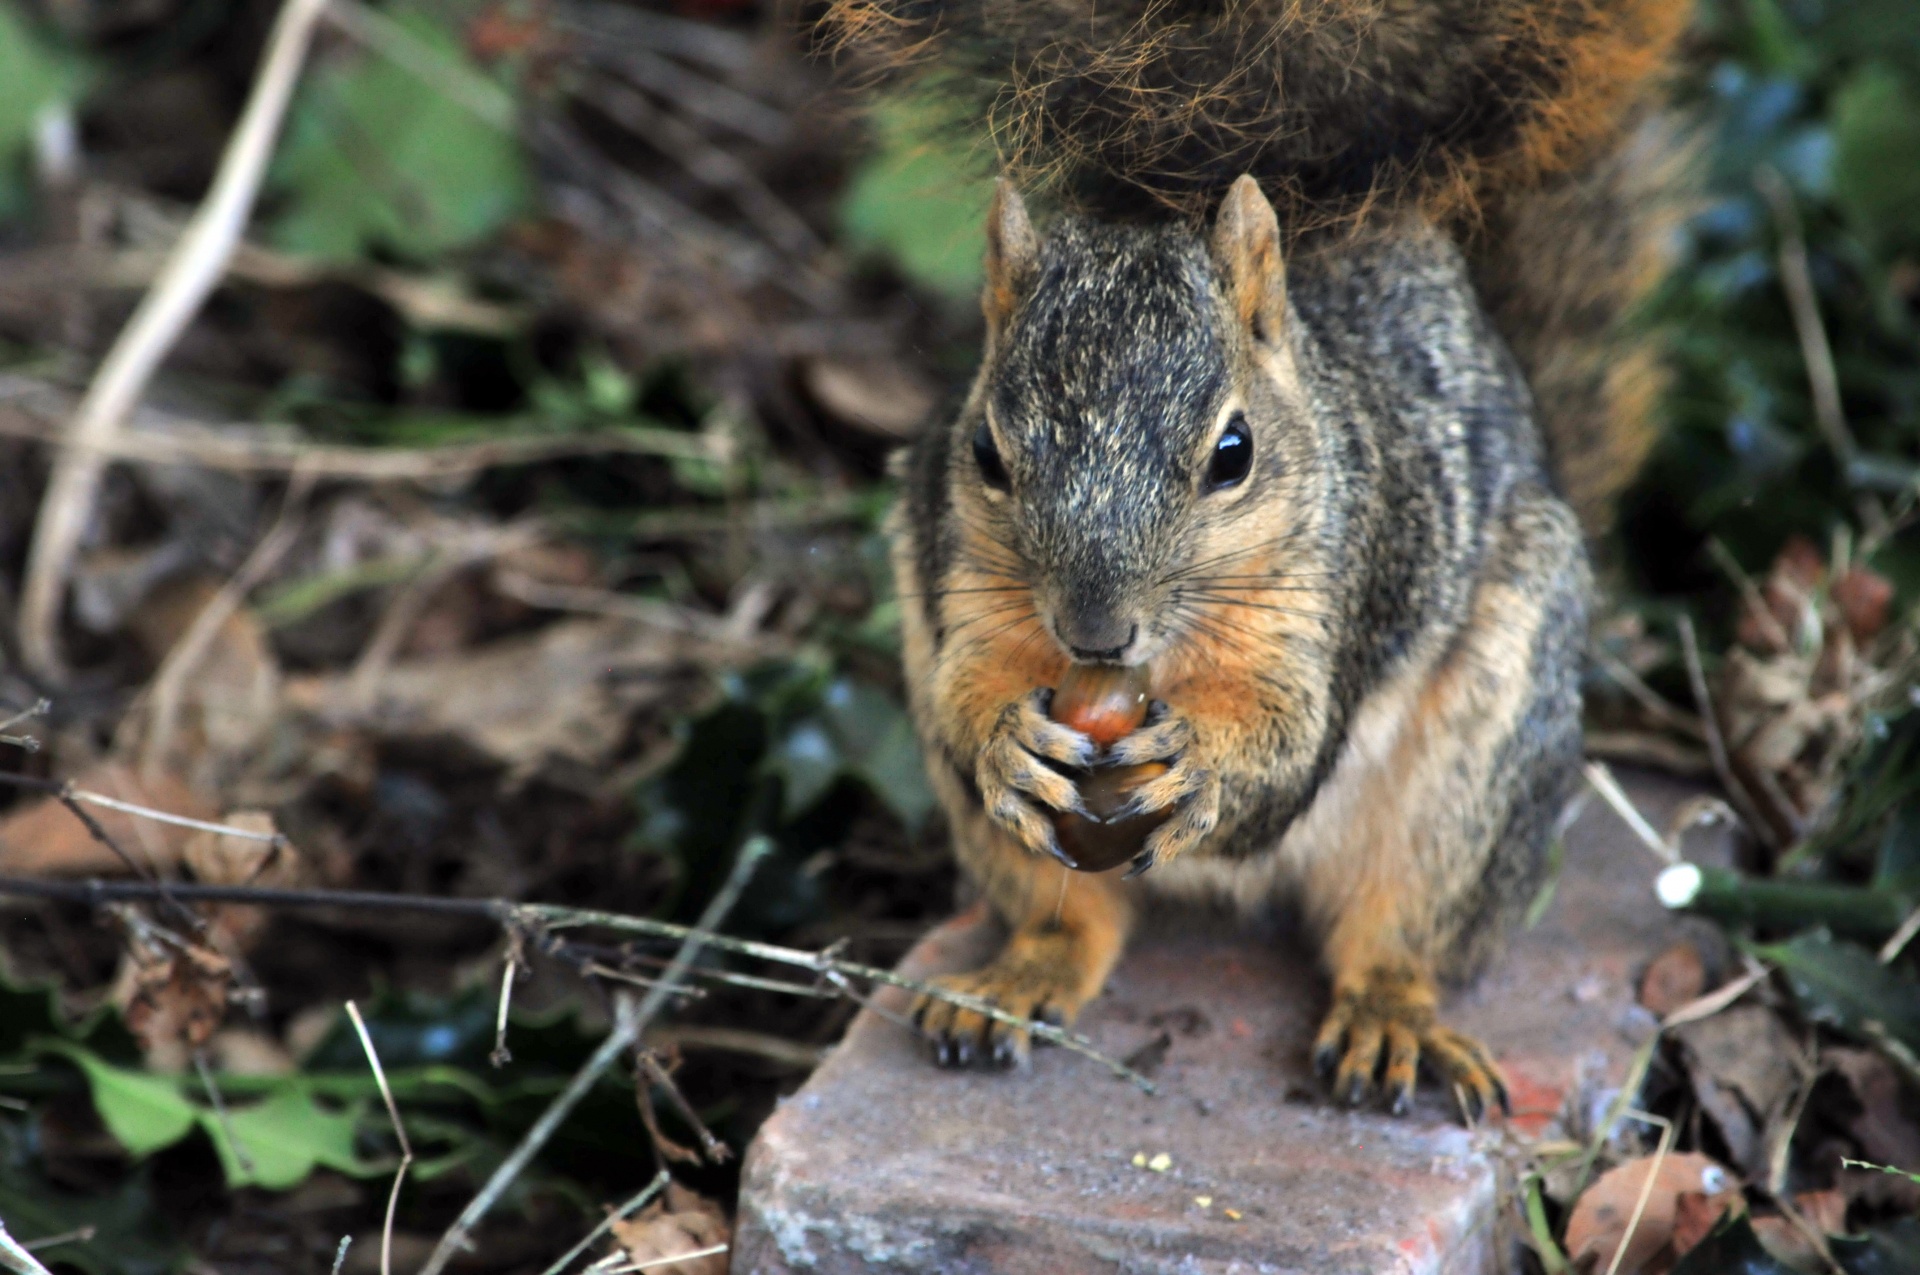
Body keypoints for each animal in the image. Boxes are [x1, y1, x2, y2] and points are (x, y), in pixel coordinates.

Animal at [833, 0, 1689, 1113]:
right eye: (984, 452)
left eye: (1232, 453)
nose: (1093, 631)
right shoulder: (964, 583)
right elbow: (970, 691)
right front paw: (1004, 743)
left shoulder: (1344, 590)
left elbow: (1289, 750)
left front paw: (1207, 763)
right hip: (999, 835)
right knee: (1071, 923)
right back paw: (1015, 983)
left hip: (1471, 779)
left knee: (1403, 930)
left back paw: (1388, 1019)